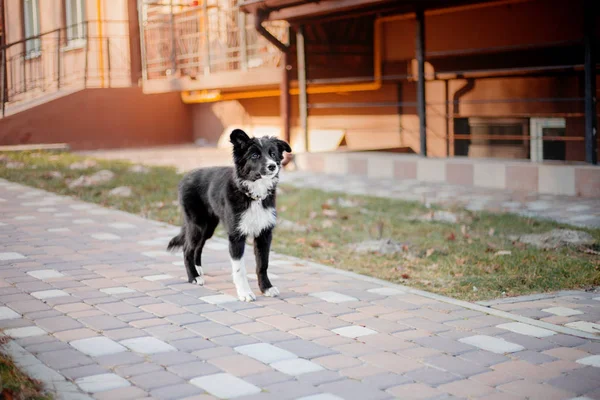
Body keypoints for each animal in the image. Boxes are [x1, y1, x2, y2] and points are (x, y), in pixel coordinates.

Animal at [168, 130, 292, 302]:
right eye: (254, 155)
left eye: (272, 153)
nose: (272, 166)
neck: (253, 195)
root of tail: (185, 176)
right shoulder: (236, 236)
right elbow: (240, 269)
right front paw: (245, 293)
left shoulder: (264, 234)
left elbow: (263, 264)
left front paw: (266, 288)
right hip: (197, 224)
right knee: (187, 249)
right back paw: (193, 277)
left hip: (208, 227)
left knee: (198, 247)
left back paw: (198, 269)